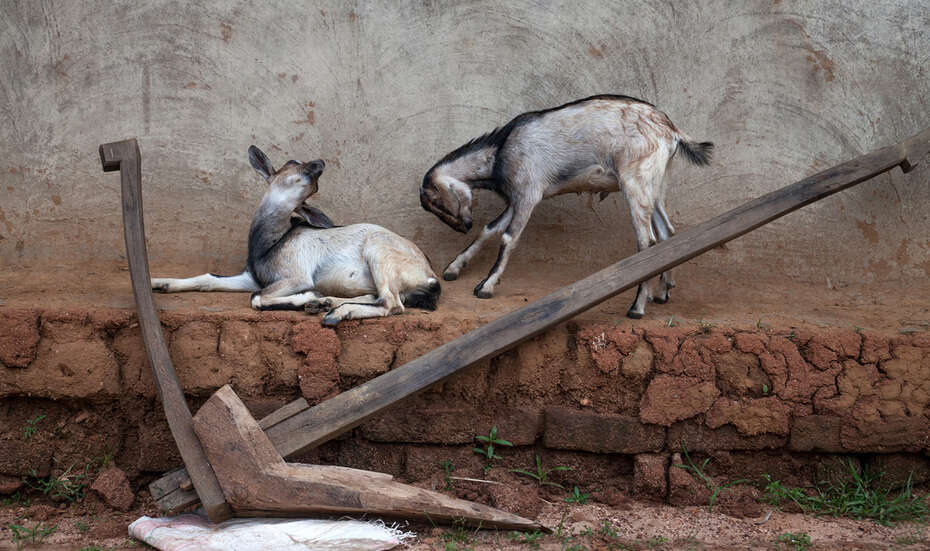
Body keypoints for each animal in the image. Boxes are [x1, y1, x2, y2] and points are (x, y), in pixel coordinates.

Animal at [152, 146, 441, 326]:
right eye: (292, 165)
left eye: (315, 184)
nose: (319, 163)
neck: (269, 245)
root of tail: (430, 275)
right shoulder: (252, 278)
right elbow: (209, 279)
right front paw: (159, 283)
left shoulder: (295, 277)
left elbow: (257, 299)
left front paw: (306, 297)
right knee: (379, 297)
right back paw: (325, 303)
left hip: (379, 252)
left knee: (392, 304)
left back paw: (332, 311)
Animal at [419, 94, 712, 318]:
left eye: (437, 202)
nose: (463, 226)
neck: (500, 151)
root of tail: (671, 131)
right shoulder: (516, 199)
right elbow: (490, 229)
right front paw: (454, 268)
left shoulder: (528, 193)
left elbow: (508, 238)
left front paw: (486, 286)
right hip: (656, 186)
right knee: (666, 233)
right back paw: (662, 292)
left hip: (635, 181)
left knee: (647, 242)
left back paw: (637, 307)